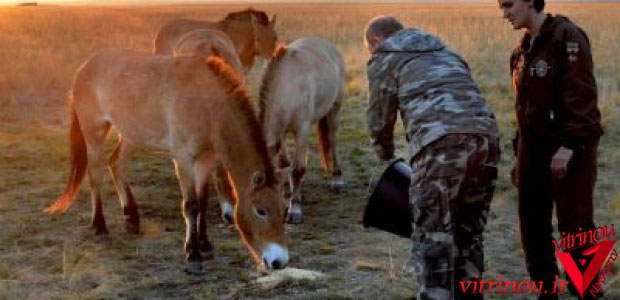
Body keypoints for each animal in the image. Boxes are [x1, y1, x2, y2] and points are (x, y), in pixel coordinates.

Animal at [47, 48, 290, 274]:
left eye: (283, 209)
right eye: (261, 210)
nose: (280, 261)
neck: (206, 103)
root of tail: (85, 66)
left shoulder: (206, 159)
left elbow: (202, 201)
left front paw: (205, 245)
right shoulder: (183, 159)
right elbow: (191, 205)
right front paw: (193, 255)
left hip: (132, 135)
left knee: (116, 163)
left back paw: (131, 217)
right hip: (95, 132)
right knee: (95, 175)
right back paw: (99, 227)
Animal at [256, 37, 346, 224]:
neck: (287, 86)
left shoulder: (302, 129)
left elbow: (297, 169)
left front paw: (295, 209)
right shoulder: (281, 133)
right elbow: (284, 165)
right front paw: (287, 195)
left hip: (334, 110)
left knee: (332, 141)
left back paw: (337, 179)